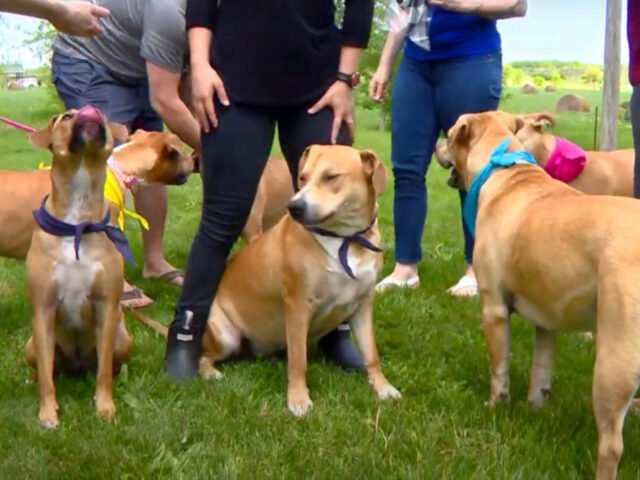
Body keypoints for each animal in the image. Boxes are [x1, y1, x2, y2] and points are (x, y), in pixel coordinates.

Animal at [24, 105, 131, 428]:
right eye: (67, 117)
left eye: (103, 114)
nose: (89, 108)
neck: (77, 222)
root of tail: (76, 366)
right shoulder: (44, 310)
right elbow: (48, 379)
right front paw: (48, 414)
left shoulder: (106, 307)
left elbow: (104, 371)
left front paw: (105, 407)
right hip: (31, 345)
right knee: (45, 370)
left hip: (123, 339)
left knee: (109, 364)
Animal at [199, 145, 400, 416]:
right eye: (302, 177)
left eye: (331, 177)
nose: (294, 207)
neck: (345, 239)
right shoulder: (297, 306)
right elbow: (298, 360)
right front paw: (298, 398)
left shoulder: (363, 305)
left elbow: (371, 354)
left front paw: (382, 387)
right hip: (224, 335)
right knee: (203, 356)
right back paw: (211, 373)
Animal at [448, 109, 640, 480]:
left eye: (448, 135)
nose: (438, 144)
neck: (505, 168)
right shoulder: (548, 320)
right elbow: (541, 370)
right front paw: (535, 407)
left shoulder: (493, 309)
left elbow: (499, 369)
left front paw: (495, 405)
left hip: (613, 363)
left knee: (611, 445)